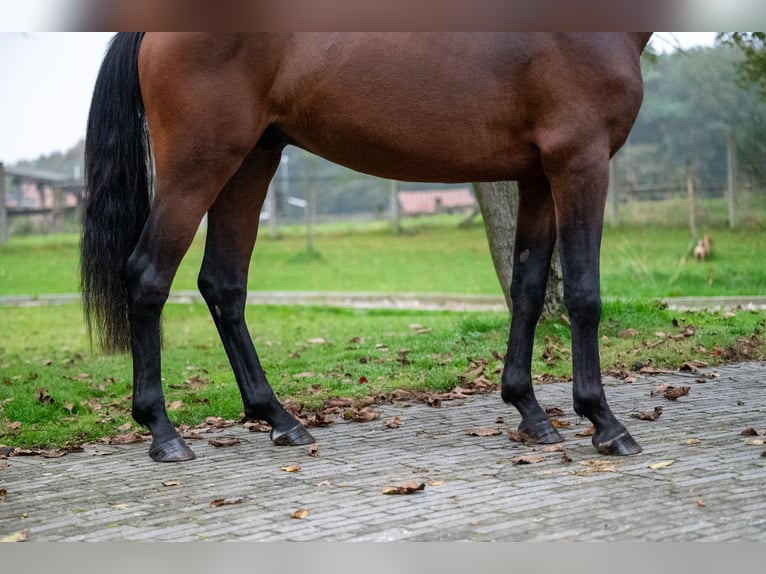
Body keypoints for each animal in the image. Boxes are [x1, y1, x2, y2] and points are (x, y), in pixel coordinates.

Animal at [82, 32, 656, 464]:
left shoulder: (537, 177)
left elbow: (529, 288)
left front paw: (530, 412)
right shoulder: (580, 161)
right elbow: (583, 294)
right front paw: (605, 423)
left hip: (251, 161)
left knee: (223, 284)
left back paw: (280, 420)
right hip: (200, 165)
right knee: (148, 277)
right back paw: (164, 433)